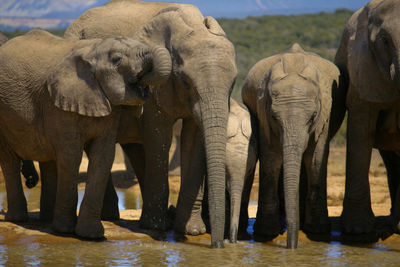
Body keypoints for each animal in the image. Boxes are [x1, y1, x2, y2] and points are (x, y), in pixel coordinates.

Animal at [0, 28, 171, 239]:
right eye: (117, 60)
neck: (92, 50)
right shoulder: (58, 104)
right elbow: (71, 155)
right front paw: (65, 231)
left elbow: (103, 156)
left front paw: (91, 235)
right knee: (9, 160)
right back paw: (19, 219)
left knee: (48, 160)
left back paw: (46, 220)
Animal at [65, 0, 238, 248]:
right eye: (186, 81)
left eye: (234, 83)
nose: (219, 245)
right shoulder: (158, 89)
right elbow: (158, 135)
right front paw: (156, 228)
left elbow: (194, 139)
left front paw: (191, 230)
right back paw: (116, 217)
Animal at [242, 42, 346, 249]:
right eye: (274, 117)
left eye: (312, 117)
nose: (291, 246)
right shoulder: (263, 113)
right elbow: (272, 158)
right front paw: (266, 232)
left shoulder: (326, 114)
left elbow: (315, 157)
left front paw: (318, 230)